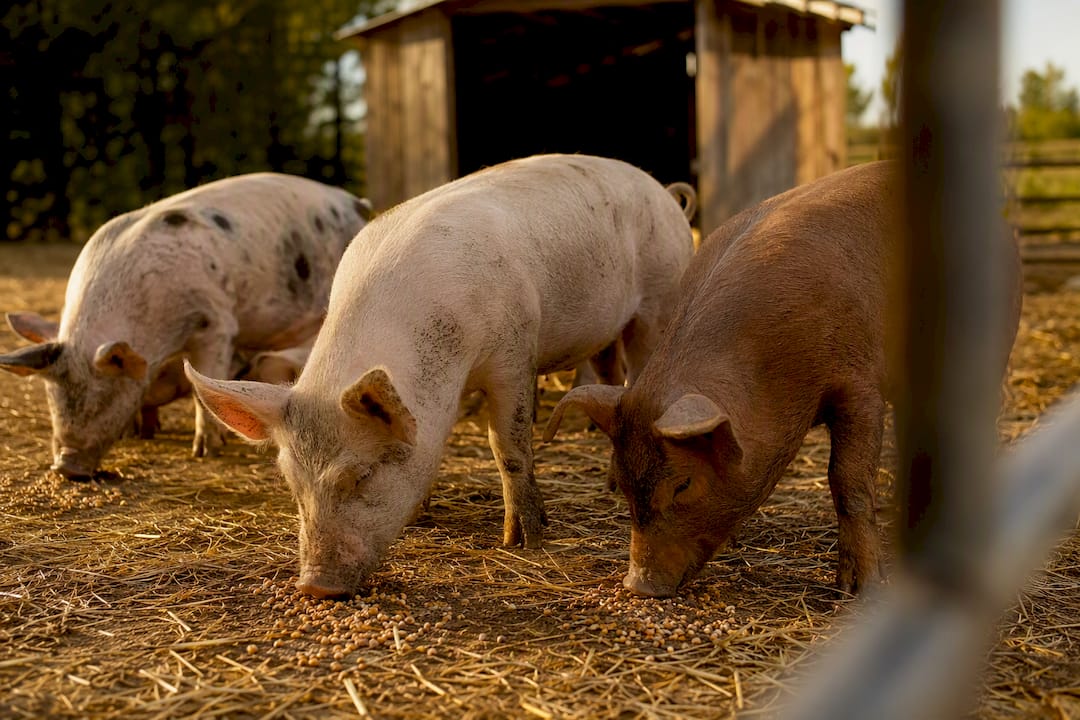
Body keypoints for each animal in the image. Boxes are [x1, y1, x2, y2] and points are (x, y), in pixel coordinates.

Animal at [0, 172, 372, 479]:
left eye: (103, 394)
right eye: (51, 395)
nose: (66, 466)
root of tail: (357, 203)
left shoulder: (216, 322)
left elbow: (201, 386)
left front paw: (205, 451)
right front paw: (141, 431)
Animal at [183, 153, 697, 598]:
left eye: (361, 475)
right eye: (292, 484)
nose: (314, 586)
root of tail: (659, 189)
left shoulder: (514, 352)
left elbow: (508, 446)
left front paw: (523, 540)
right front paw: (420, 515)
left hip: (659, 298)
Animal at [544, 160, 1022, 598]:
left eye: (682, 484)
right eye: (620, 484)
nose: (639, 585)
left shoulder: (859, 386)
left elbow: (847, 480)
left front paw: (860, 589)